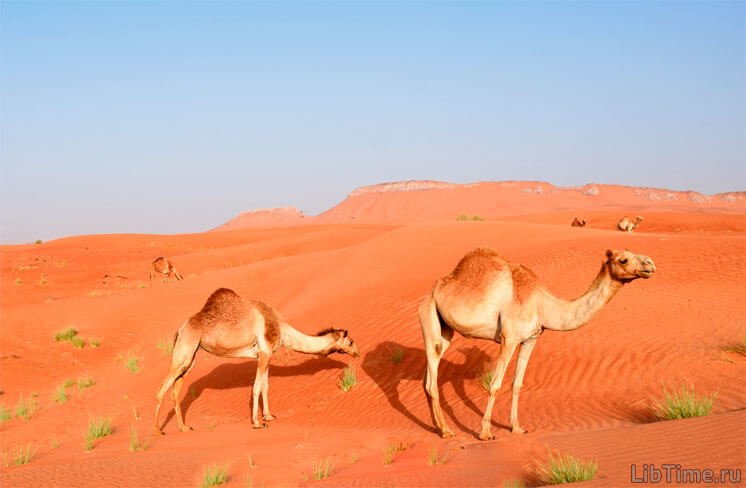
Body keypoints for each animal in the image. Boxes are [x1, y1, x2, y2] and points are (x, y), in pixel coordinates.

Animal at [153, 288, 360, 434]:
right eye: (350, 341)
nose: (357, 353)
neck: (281, 328)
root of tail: (180, 328)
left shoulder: (265, 354)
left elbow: (265, 387)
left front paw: (269, 416)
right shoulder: (265, 351)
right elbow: (256, 387)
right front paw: (257, 423)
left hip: (191, 355)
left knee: (175, 391)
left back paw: (184, 428)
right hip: (185, 349)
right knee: (163, 386)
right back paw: (157, 431)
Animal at [419, 248, 655, 440]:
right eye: (623, 259)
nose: (650, 264)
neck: (542, 305)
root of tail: (431, 290)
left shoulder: (530, 339)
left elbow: (517, 384)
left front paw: (517, 428)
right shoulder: (509, 338)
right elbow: (495, 385)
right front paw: (485, 433)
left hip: (445, 330)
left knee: (427, 378)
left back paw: (438, 428)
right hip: (429, 316)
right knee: (432, 375)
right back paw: (447, 431)